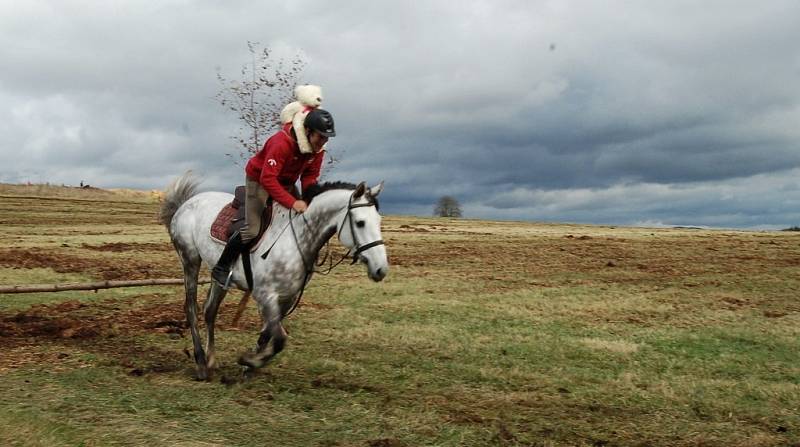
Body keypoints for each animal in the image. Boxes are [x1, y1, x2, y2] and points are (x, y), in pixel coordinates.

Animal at [158, 172, 390, 382]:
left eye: (378, 221)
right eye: (360, 223)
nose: (381, 269)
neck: (295, 238)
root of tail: (186, 204)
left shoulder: (287, 298)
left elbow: (267, 334)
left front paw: (249, 367)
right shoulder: (265, 295)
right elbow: (279, 339)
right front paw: (248, 361)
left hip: (219, 277)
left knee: (210, 311)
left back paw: (211, 360)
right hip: (190, 260)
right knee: (191, 309)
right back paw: (200, 364)